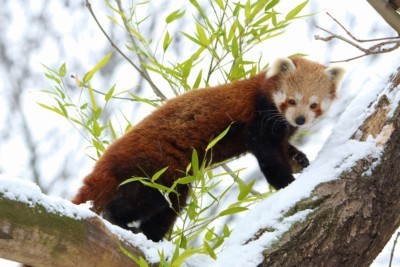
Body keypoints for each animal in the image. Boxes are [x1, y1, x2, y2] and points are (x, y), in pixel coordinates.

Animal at [71, 57, 344, 243]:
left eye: (313, 104)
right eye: (292, 100)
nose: (300, 119)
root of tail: (107, 159)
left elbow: (285, 148)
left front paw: (301, 160)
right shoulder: (257, 122)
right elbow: (269, 157)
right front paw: (287, 183)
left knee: (170, 206)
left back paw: (151, 237)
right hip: (153, 170)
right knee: (137, 202)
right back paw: (119, 221)